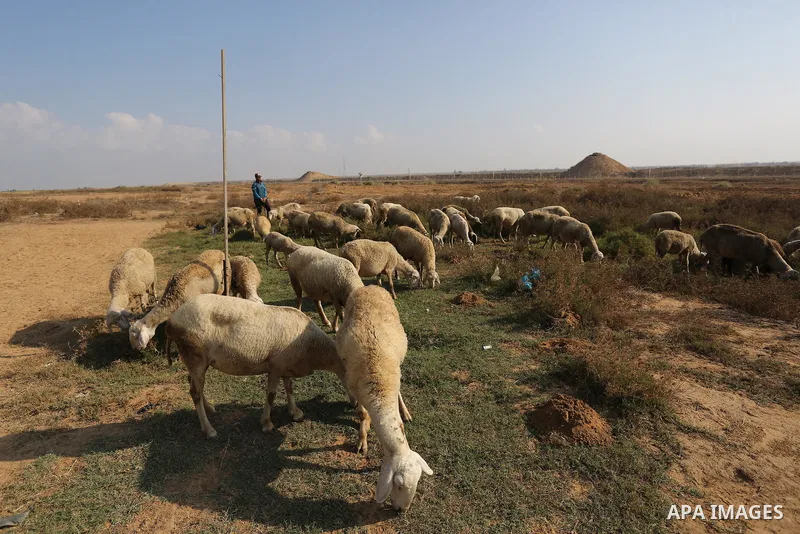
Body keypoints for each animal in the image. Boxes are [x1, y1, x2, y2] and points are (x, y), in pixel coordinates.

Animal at [165, 294, 349, 438]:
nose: (353, 405)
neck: (312, 348)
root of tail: (172, 321)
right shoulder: (275, 367)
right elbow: (271, 395)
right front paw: (266, 423)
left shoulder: (285, 365)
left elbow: (289, 388)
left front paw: (295, 413)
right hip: (195, 356)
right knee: (194, 392)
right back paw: (208, 429)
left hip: (197, 361)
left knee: (194, 383)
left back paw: (209, 408)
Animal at [336, 285, 433, 512]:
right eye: (397, 484)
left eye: (418, 482)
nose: (401, 511)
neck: (380, 390)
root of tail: (368, 286)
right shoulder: (356, 386)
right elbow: (362, 414)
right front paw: (362, 440)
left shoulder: (394, 377)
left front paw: (403, 413)